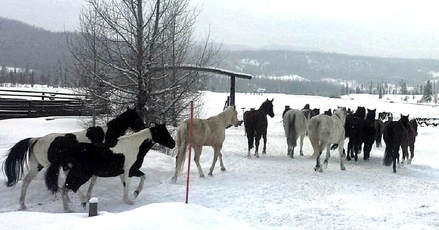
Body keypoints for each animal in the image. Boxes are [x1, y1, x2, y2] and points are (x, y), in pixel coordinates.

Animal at [2, 107, 145, 209]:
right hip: (52, 167)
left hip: (38, 166)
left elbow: (94, 181)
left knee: (27, 182)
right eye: (137, 118)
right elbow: (95, 181)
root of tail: (36, 140)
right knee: (56, 184)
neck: (106, 135)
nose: (144, 128)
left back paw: (23, 204)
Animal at [44, 123, 175, 211]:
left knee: (64, 188)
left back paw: (68, 209)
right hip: (82, 174)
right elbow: (130, 184)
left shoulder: (127, 172)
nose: (173, 144)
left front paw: (135, 194)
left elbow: (139, 178)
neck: (135, 146)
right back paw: (82, 203)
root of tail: (66, 151)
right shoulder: (129, 171)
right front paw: (130, 199)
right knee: (70, 187)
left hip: (73, 173)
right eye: (163, 133)